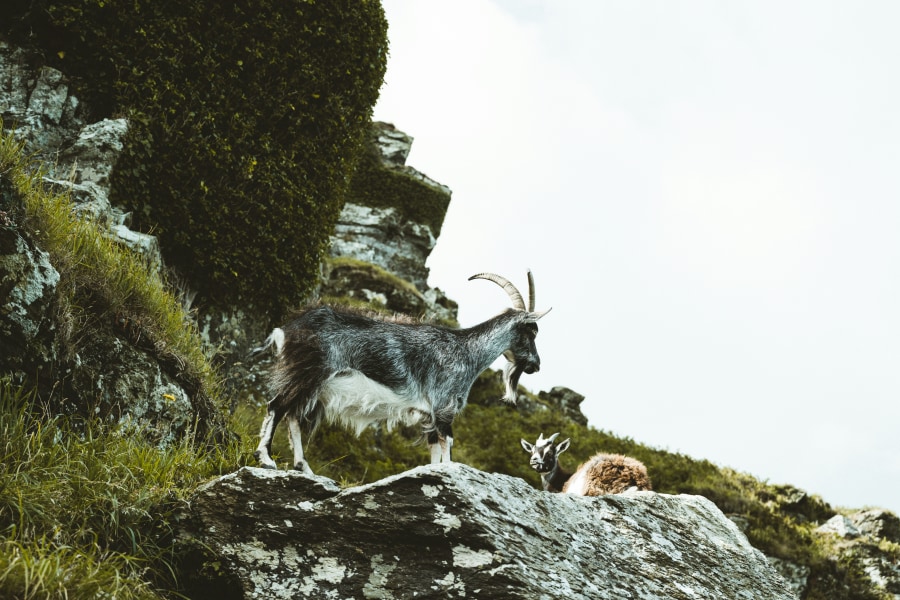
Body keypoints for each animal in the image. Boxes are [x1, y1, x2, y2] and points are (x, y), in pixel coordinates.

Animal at [254, 271, 550, 473]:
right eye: (531, 331)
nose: (535, 365)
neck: (465, 350)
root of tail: (288, 329)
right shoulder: (443, 406)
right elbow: (447, 443)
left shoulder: (430, 414)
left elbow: (434, 447)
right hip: (306, 373)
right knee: (276, 406)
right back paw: (266, 459)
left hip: (311, 386)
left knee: (292, 415)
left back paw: (302, 466)